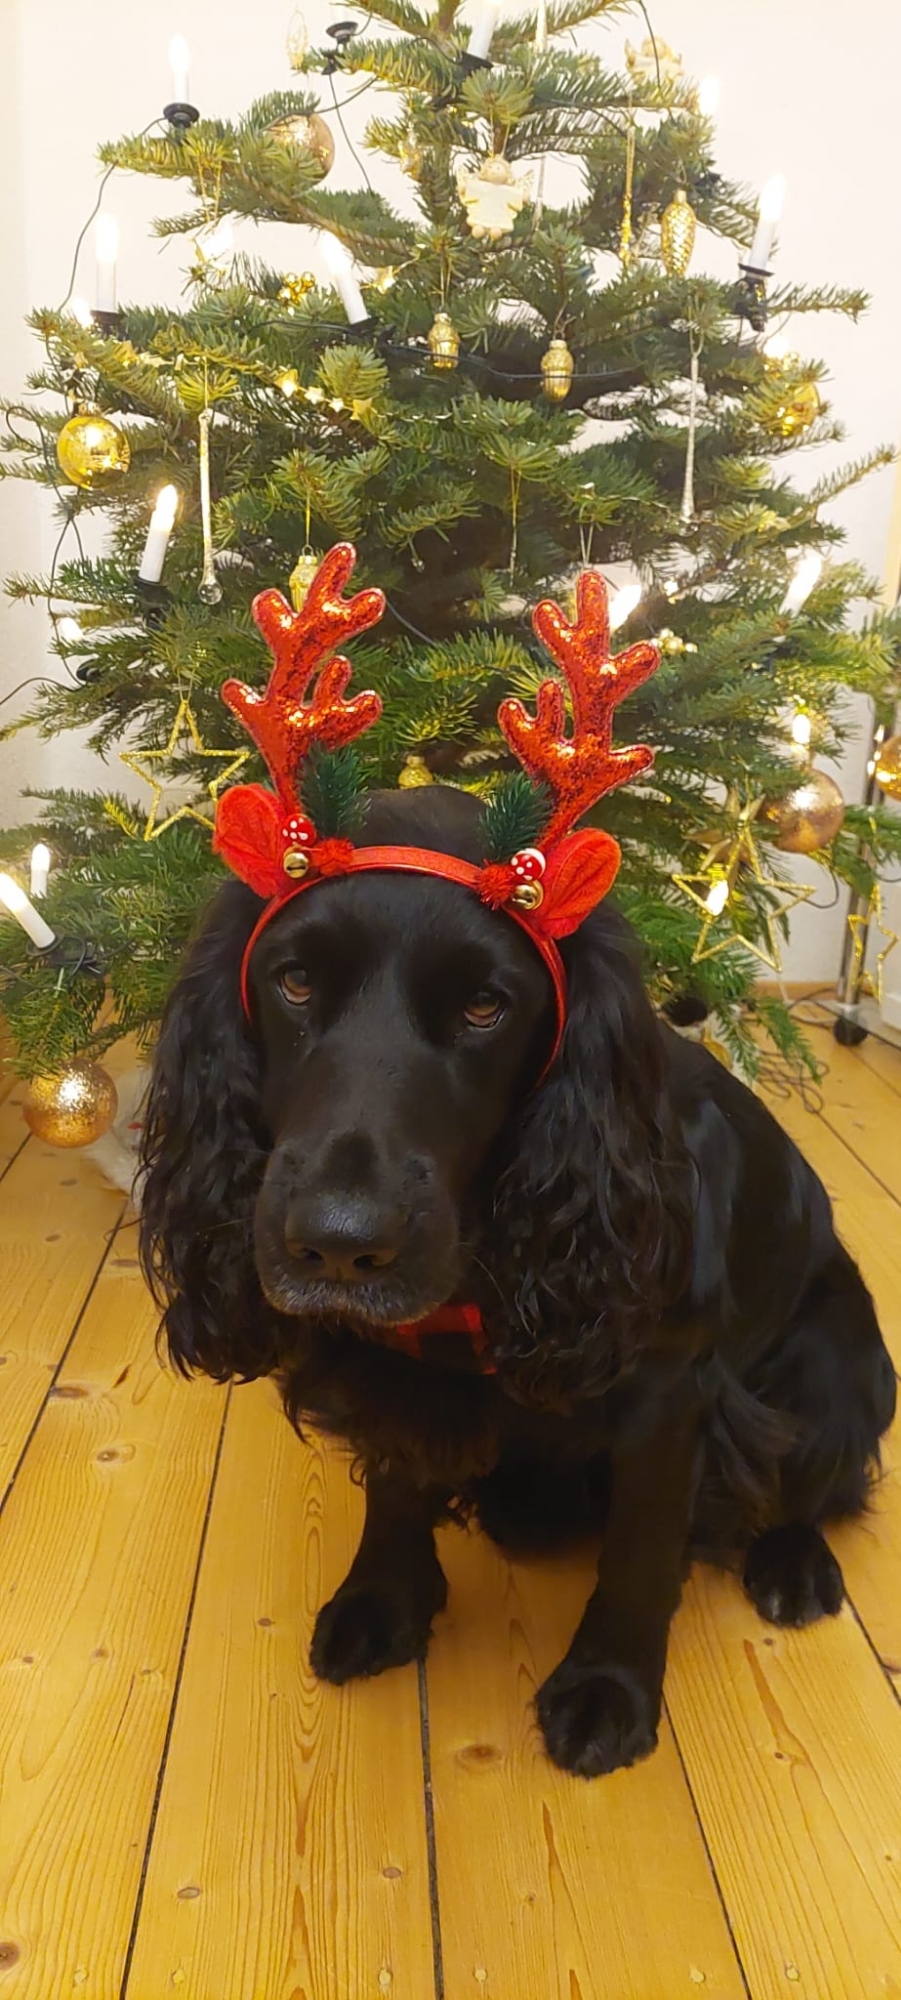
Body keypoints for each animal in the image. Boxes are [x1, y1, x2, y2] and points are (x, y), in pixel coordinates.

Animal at [140, 784, 896, 1778]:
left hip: (840, 1357)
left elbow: (641, 1550)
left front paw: (607, 1687)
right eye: (294, 982)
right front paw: (384, 1600)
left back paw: (792, 1564)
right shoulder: (392, 1365)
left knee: (823, 1476)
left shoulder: (669, 1394)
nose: (339, 1244)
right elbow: (395, 1485)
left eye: (484, 1006)